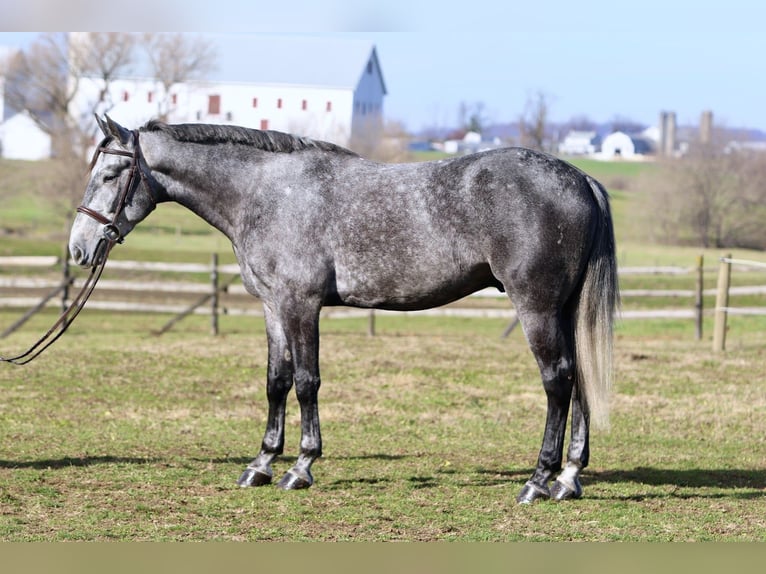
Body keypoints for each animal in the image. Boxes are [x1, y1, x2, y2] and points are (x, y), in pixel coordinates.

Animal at [69, 115, 618, 504]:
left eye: (112, 173)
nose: (79, 248)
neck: (266, 193)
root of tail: (581, 178)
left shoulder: (300, 304)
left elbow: (306, 382)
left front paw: (300, 467)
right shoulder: (273, 306)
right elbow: (276, 382)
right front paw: (260, 465)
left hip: (536, 307)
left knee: (557, 380)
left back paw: (538, 480)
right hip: (563, 310)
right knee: (578, 380)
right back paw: (568, 478)